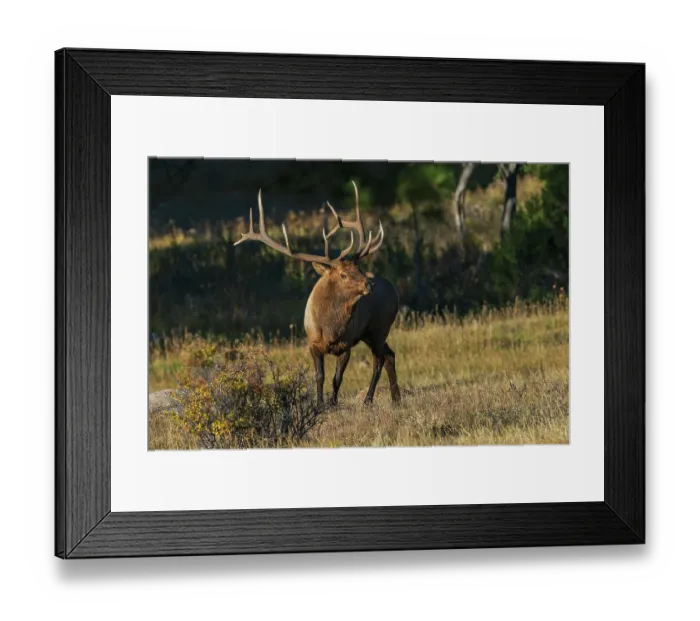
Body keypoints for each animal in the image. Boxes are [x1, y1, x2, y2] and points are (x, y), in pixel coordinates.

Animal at [233, 182, 401, 407]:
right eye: (343, 274)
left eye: (359, 267)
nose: (369, 284)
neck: (329, 329)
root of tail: (393, 289)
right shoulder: (312, 343)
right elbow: (319, 376)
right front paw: (320, 404)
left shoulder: (346, 345)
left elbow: (337, 378)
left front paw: (333, 402)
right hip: (370, 333)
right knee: (389, 355)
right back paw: (396, 398)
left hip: (380, 327)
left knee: (379, 360)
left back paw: (369, 399)